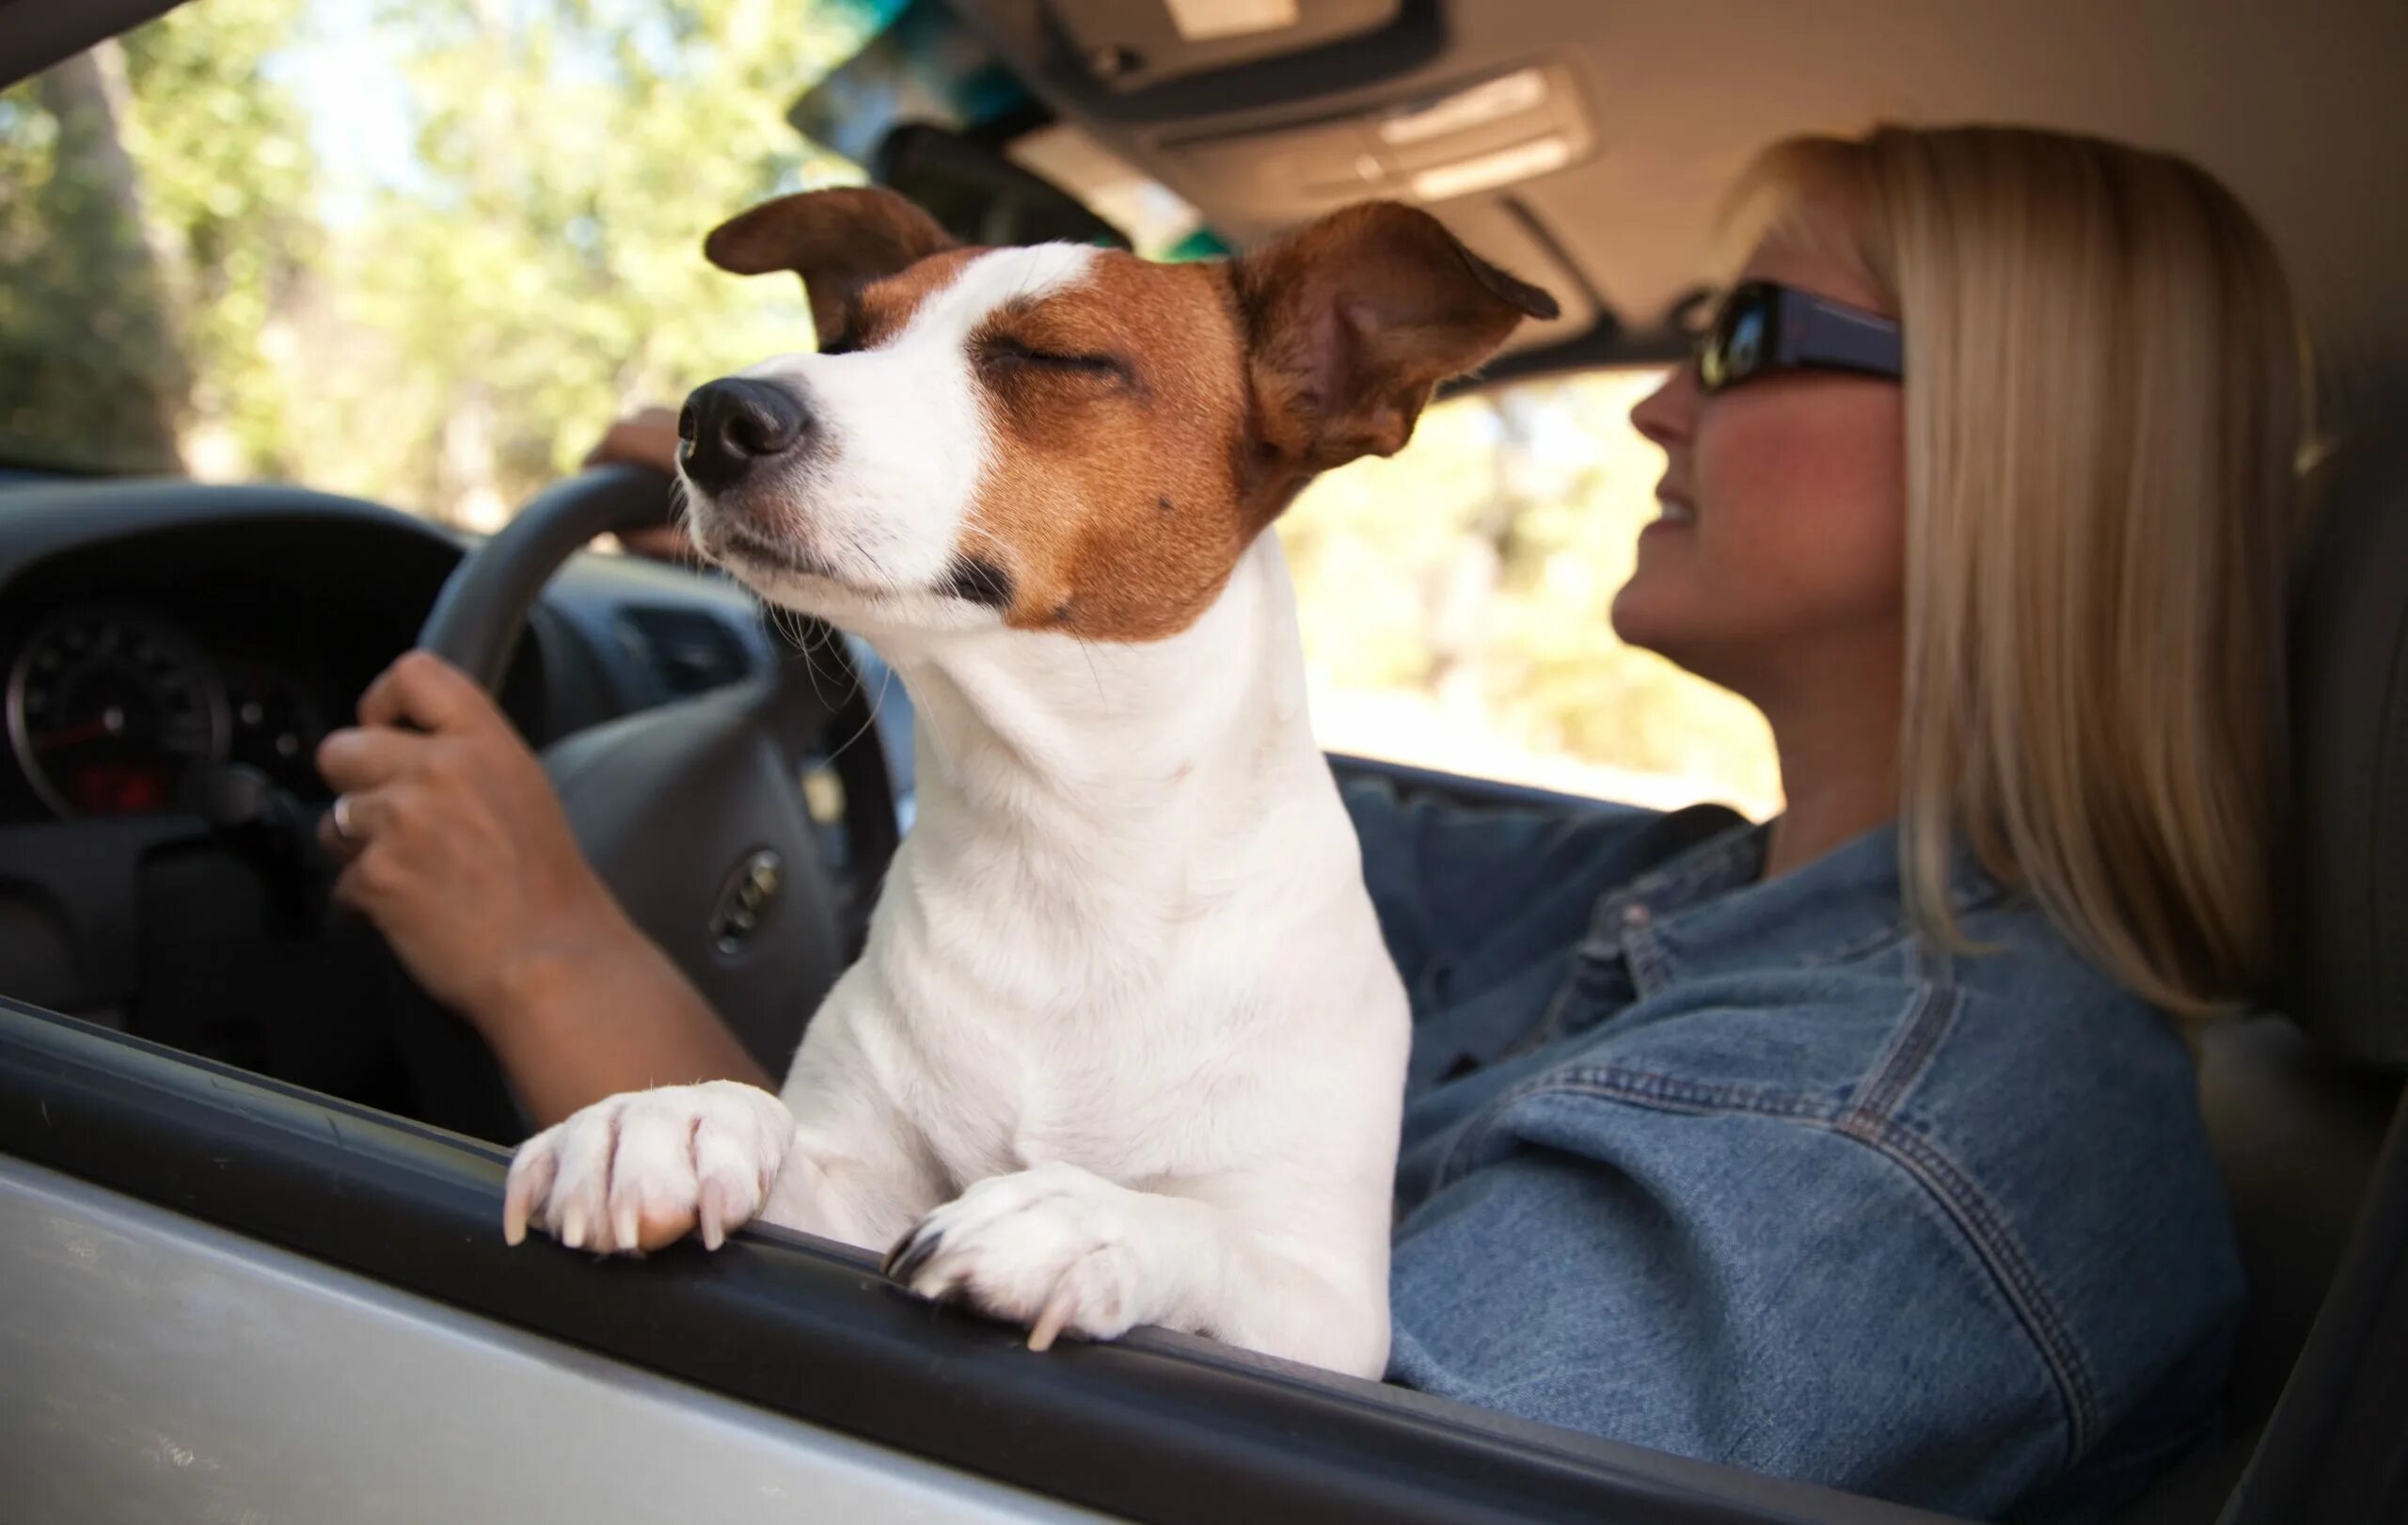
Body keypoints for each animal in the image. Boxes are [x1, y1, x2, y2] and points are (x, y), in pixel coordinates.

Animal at [508, 183, 1560, 1377]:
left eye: (1053, 358)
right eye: (847, 337)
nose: (714, 416)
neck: (1065, 846)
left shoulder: (1330, 1316)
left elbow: (1207, 1232)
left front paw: (1081, 1218)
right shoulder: (845, 1196)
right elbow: (768, 1134)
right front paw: (666, 1119)